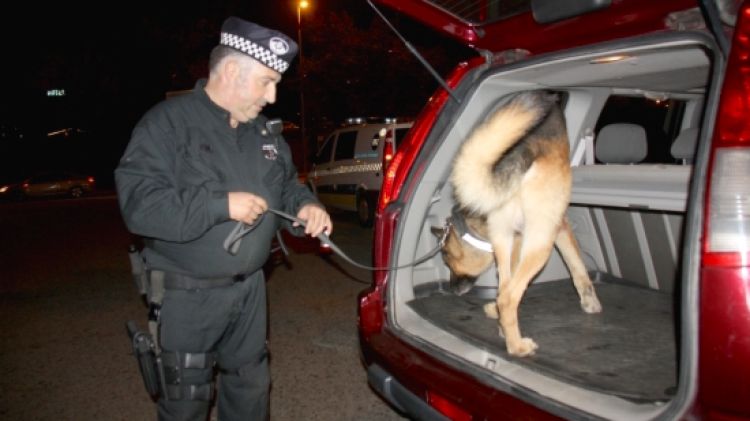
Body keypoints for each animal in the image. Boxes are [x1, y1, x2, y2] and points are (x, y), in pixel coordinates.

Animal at [440, 90, 604, 356]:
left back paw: (505, 327)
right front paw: (590, 301)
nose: (451, 290)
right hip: (541, 241)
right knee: (509, 297)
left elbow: (506, 284)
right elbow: (577, 264)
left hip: (504, 239)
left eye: (448, 260)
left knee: (504, 291)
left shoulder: (515, 240)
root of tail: (518, 159)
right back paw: (517, 347)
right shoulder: (559, 225)